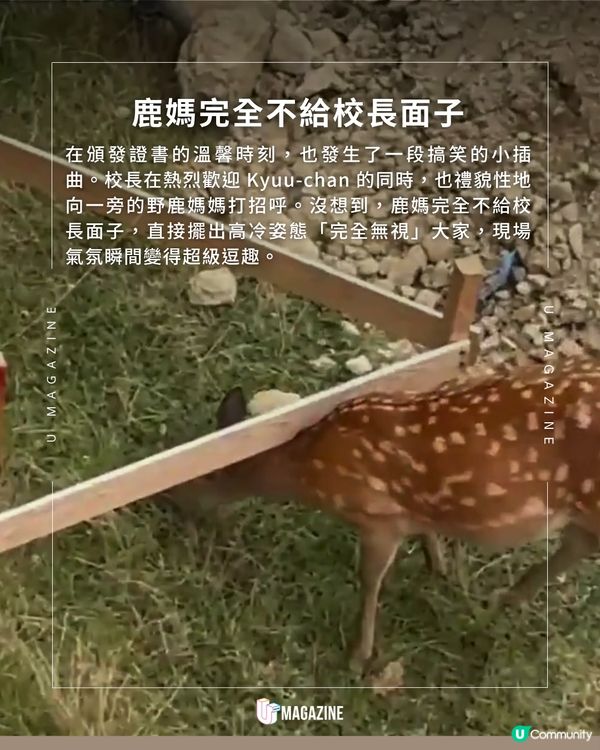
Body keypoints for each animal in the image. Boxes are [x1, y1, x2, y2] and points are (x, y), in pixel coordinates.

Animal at [185, 356, 600, 672]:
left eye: (200, 477)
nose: (178, 505)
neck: (309, 466)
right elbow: (424, 529)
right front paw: (438, 565)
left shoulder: (377, 516)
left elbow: (369, 580)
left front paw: (358, 657)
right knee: (575, 546)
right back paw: (503, 601)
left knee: (579, 545)